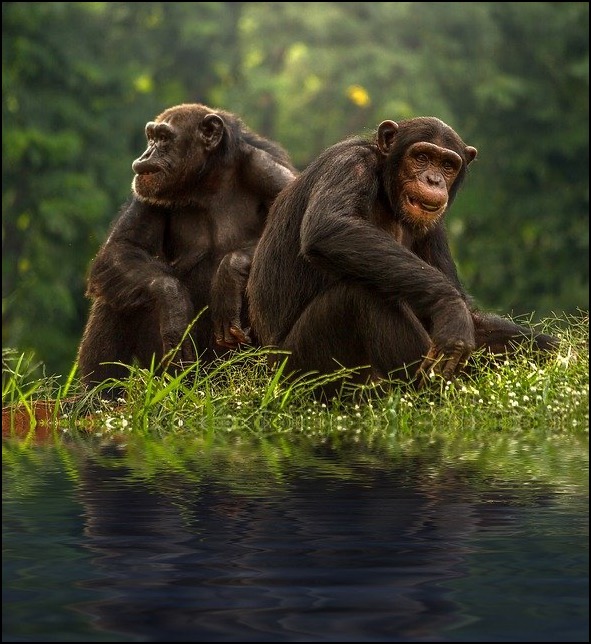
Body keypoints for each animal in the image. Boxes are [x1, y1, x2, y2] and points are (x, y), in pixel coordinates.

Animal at [77, 103, 298, 390]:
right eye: (151, 137)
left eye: (164, 138)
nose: (146, 153)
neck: (208, 181)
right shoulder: (146, 189)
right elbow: (123, 247)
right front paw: (174, 303)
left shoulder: (267, 170)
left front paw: (230, 272)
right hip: (168, 372)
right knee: (115, 291)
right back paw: (98, 394)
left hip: (235, 370)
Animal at [246, 118, 560, 394]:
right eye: (421, 157)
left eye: (447, 165)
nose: (433, 180)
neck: (388, 194)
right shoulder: (351, 163)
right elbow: (331, 227)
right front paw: (451, 309)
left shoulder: (434, 228)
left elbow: (470, 318)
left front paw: (549, 349)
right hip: (303, 373)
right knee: (361, 295)